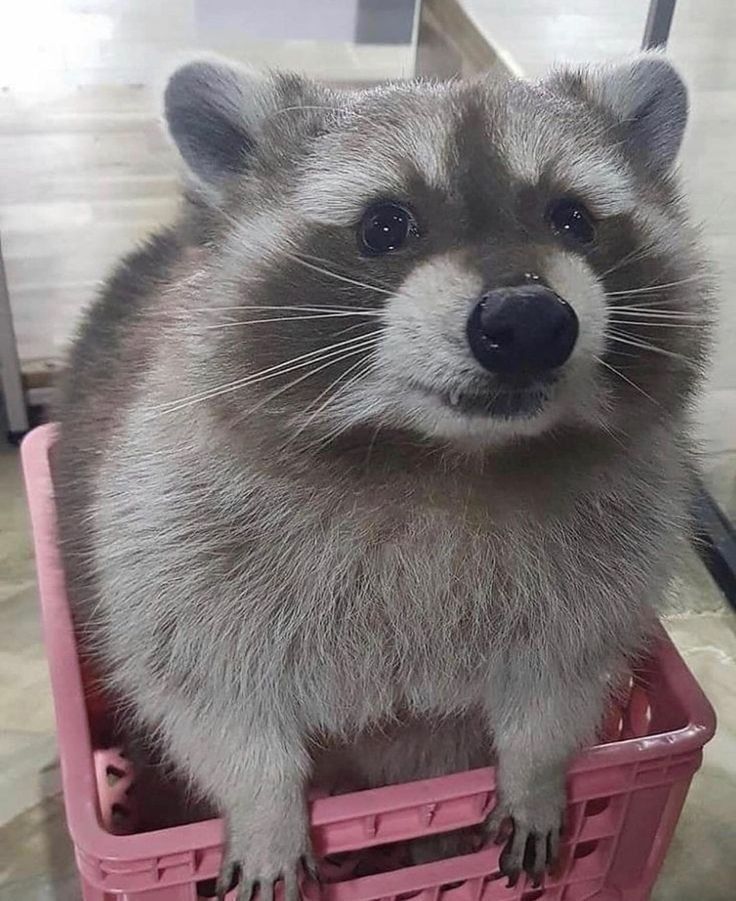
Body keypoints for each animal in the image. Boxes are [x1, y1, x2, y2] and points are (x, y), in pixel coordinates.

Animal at [53, 53, 713, 898]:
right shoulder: (165, 517)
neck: (444, 455)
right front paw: (262, 803)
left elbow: (561, 673)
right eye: (385, 226)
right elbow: (205, 689)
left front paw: (536, 769)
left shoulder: (616, 548)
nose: (528, 320)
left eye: (573, 219)